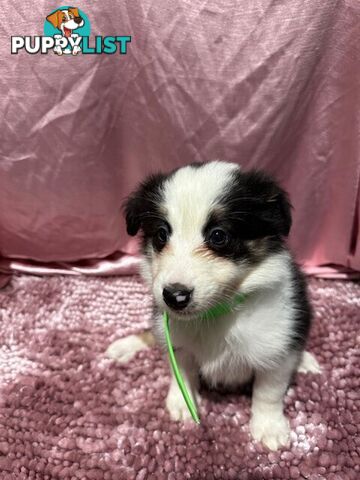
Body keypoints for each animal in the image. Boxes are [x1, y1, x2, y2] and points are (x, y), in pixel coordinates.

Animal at [107, 160, 320, 450]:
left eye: (219, 236)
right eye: (161, 234)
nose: (175, 296)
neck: (217, 312)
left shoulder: (277, 346)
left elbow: (268, 392)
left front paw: (268, 427)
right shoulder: (176, 339)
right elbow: (181, 372)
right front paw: (182, 402)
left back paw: (306, 360)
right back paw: (123, 346)